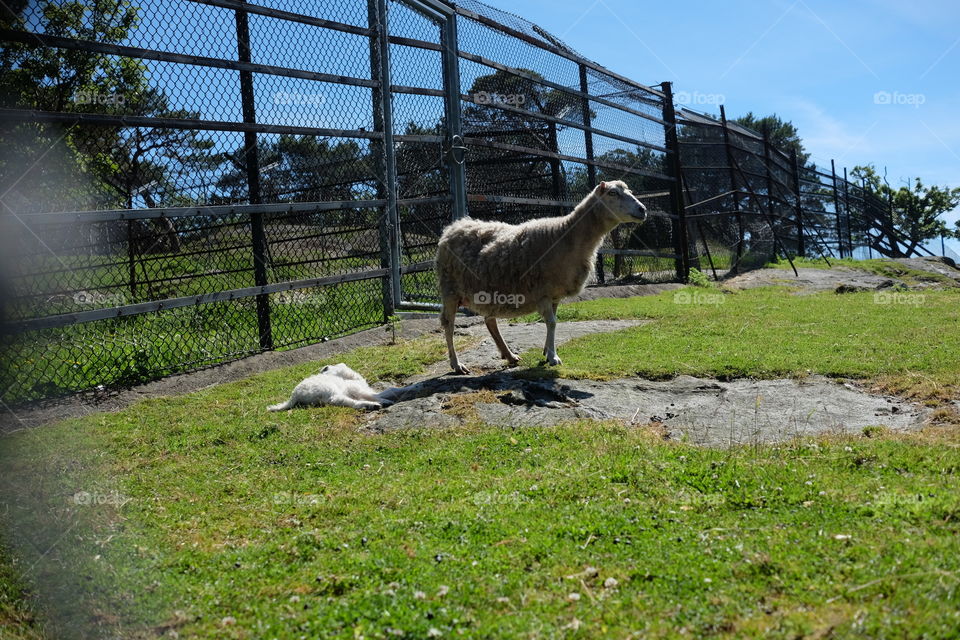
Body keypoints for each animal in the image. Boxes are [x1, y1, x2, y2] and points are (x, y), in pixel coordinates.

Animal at [435, 180, 647, 374]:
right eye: (613, 193)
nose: (643, 209)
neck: (566, 235)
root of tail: (454, 226)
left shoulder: (555, 295)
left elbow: (552, 322)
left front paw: (547, 351)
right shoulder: (542, 292)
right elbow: (551, 322)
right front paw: (553, 357)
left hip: (490, 290)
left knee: (490, 321)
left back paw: (509, 355)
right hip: (450, 290)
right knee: (448, 325)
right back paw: (457, 364)